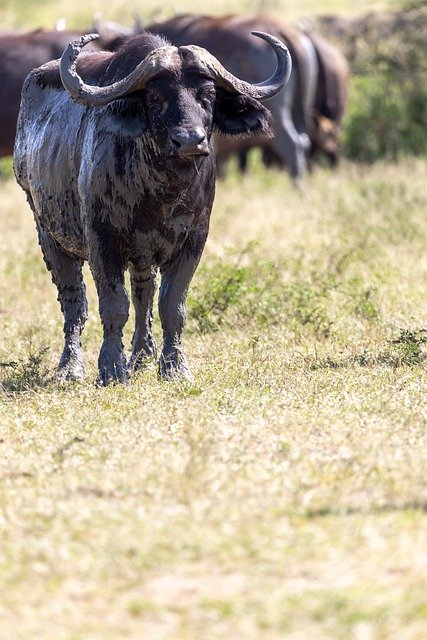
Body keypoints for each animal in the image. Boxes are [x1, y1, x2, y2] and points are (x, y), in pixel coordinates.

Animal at [15, 31, 292, 384]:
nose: (189, 140)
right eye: (156, 96)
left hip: (141, 254)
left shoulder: (194, 240)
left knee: (143, 292)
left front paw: (174, 367)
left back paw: (142, 357)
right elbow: (114, 305)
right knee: (74, 300)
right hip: (47, 230)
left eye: (208, 95)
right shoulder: (102, 240)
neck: (160, 192)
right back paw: (70, 368)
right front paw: (111, 369)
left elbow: (171, 305)